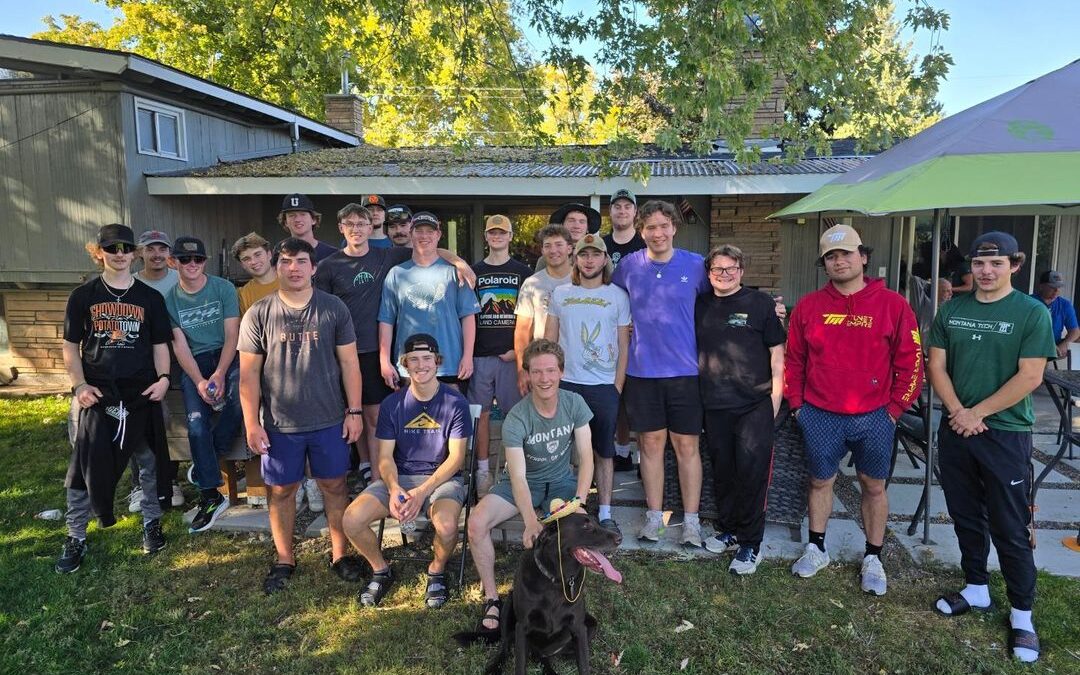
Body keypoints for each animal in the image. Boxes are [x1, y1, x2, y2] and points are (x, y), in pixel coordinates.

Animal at [455, 509, 626, 673]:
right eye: (586, 526)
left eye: (597, 523)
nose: (620, 538)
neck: (556, 580)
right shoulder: (522, 627)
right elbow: (520, 666)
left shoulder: (579, 627)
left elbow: (584, 666)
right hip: (509, 606)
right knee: (506, 646)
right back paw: (495, 667)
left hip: (591, 625)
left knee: (540, 655)